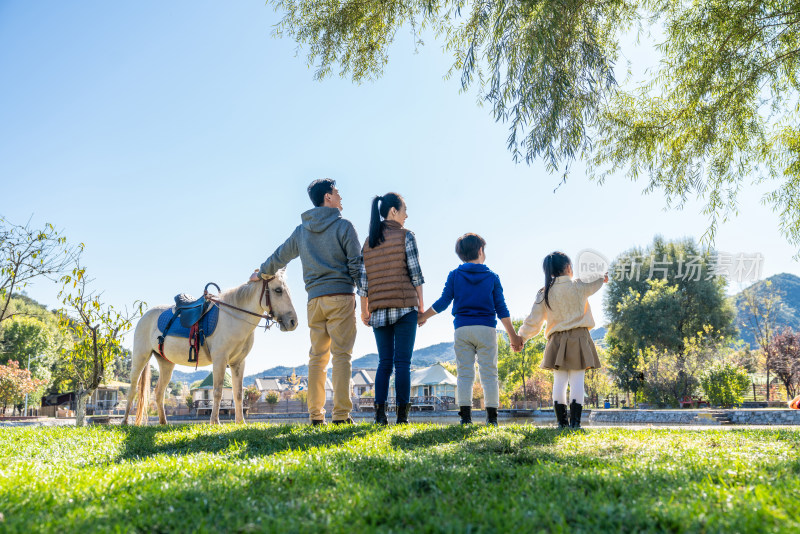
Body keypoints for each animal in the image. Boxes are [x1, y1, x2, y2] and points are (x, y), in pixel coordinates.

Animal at [123, 272, 298, 428]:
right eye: (278, 290)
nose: (293, 322)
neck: (234, 317)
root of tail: (145, 316)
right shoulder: (220, 360)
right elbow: (217, 392)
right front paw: (215, 421)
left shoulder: (238, 363)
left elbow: (238, 393)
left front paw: (240, 422)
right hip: (140, 357)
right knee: (132, 389)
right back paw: (125, 421)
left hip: (166, 363)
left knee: (159, 392)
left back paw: (163, 422)